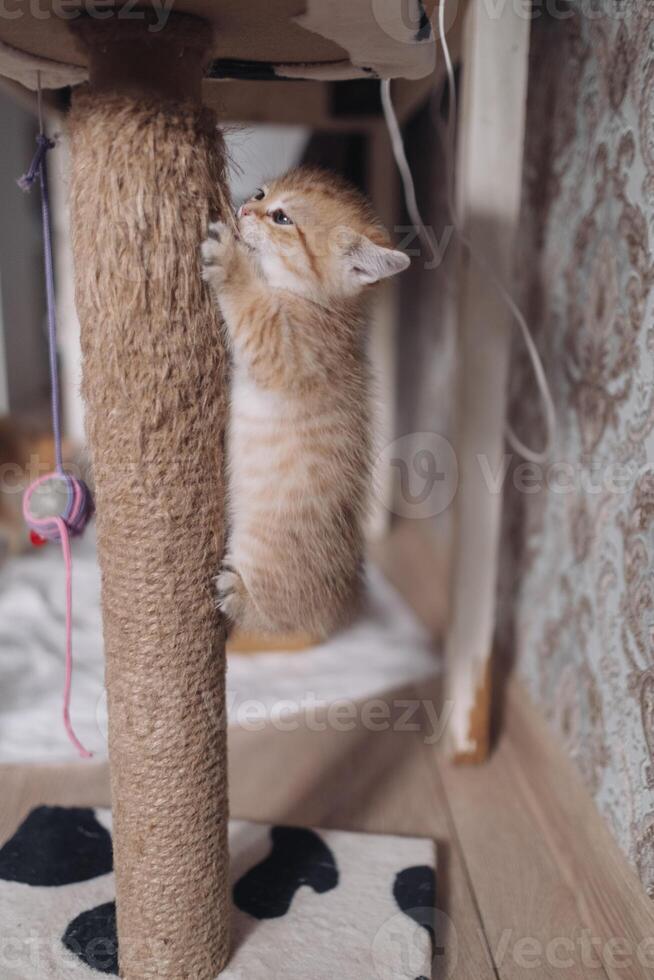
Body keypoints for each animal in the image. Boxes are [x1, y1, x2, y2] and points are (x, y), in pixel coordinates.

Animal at [202, 170, 412, 636]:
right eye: (261, 193)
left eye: (282, 218)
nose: (244, 209)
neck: (321, 308)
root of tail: (343, 603)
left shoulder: (285, 347)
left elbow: (252, 308)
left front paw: (231, 263)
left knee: (280, 621)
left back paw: (241, 597)